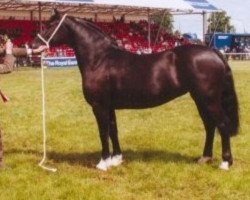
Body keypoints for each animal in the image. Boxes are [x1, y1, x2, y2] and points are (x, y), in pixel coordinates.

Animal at [32, 9, 239, 170]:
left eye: (51, 25)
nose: (32, 45)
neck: (100, 59)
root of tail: (213, 51)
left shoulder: (99, 106)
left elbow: (103, 132)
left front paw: (103, 163)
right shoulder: (109, 106)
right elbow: (113, 130)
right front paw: (116, 159)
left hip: (209, 99)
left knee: (222, 124)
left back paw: (225, 163)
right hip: (199, 98)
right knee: (210, 126)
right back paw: (205, 158)